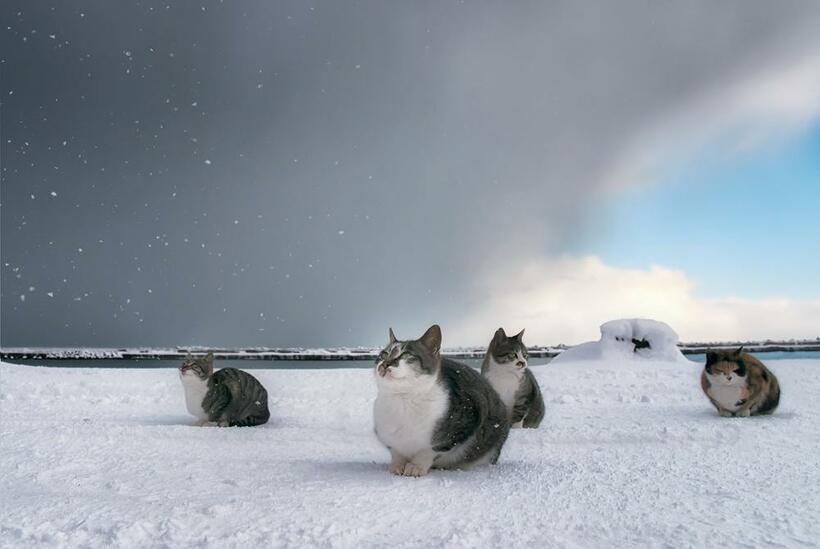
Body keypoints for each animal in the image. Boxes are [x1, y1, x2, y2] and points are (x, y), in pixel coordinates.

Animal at [374, 326, 510, 476]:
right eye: (383, 354)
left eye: (406, 355)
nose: (385, 364)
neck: (403, 400)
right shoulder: (385, 433)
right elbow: (396, 451)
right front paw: (397, 465)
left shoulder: (467, 419)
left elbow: (430, 450)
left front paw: (416, 466)